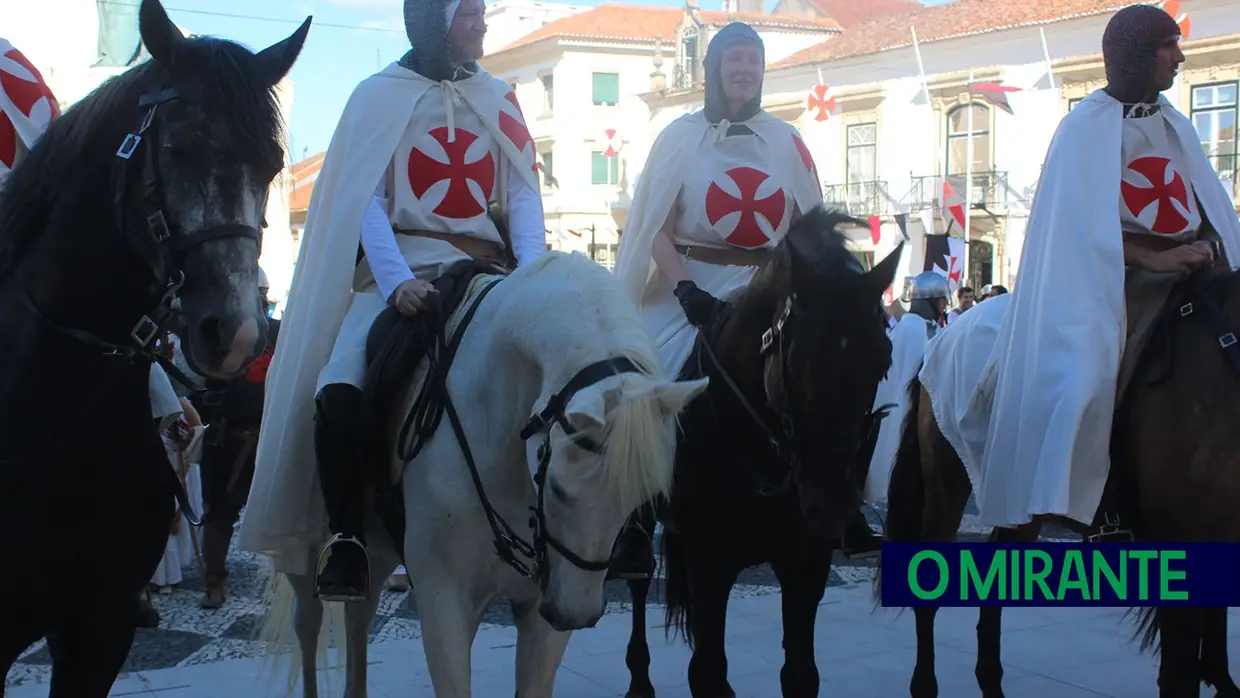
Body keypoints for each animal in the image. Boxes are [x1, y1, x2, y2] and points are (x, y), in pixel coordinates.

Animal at [257, 251, 709, 698]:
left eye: (641, 499)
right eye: (557, 489)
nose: (573, 614)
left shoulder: (539, 610)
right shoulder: (445, 600)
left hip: (382, 547)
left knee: (359, 618)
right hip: (308, 550)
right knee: (308, 625)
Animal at [620, 209, 902, 698]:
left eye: (883, 359)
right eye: (797, 360)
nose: (829, 504)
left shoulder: (806, 563)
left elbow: (800, 674)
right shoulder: (709, 564)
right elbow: (709, 674)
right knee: (639, 579)